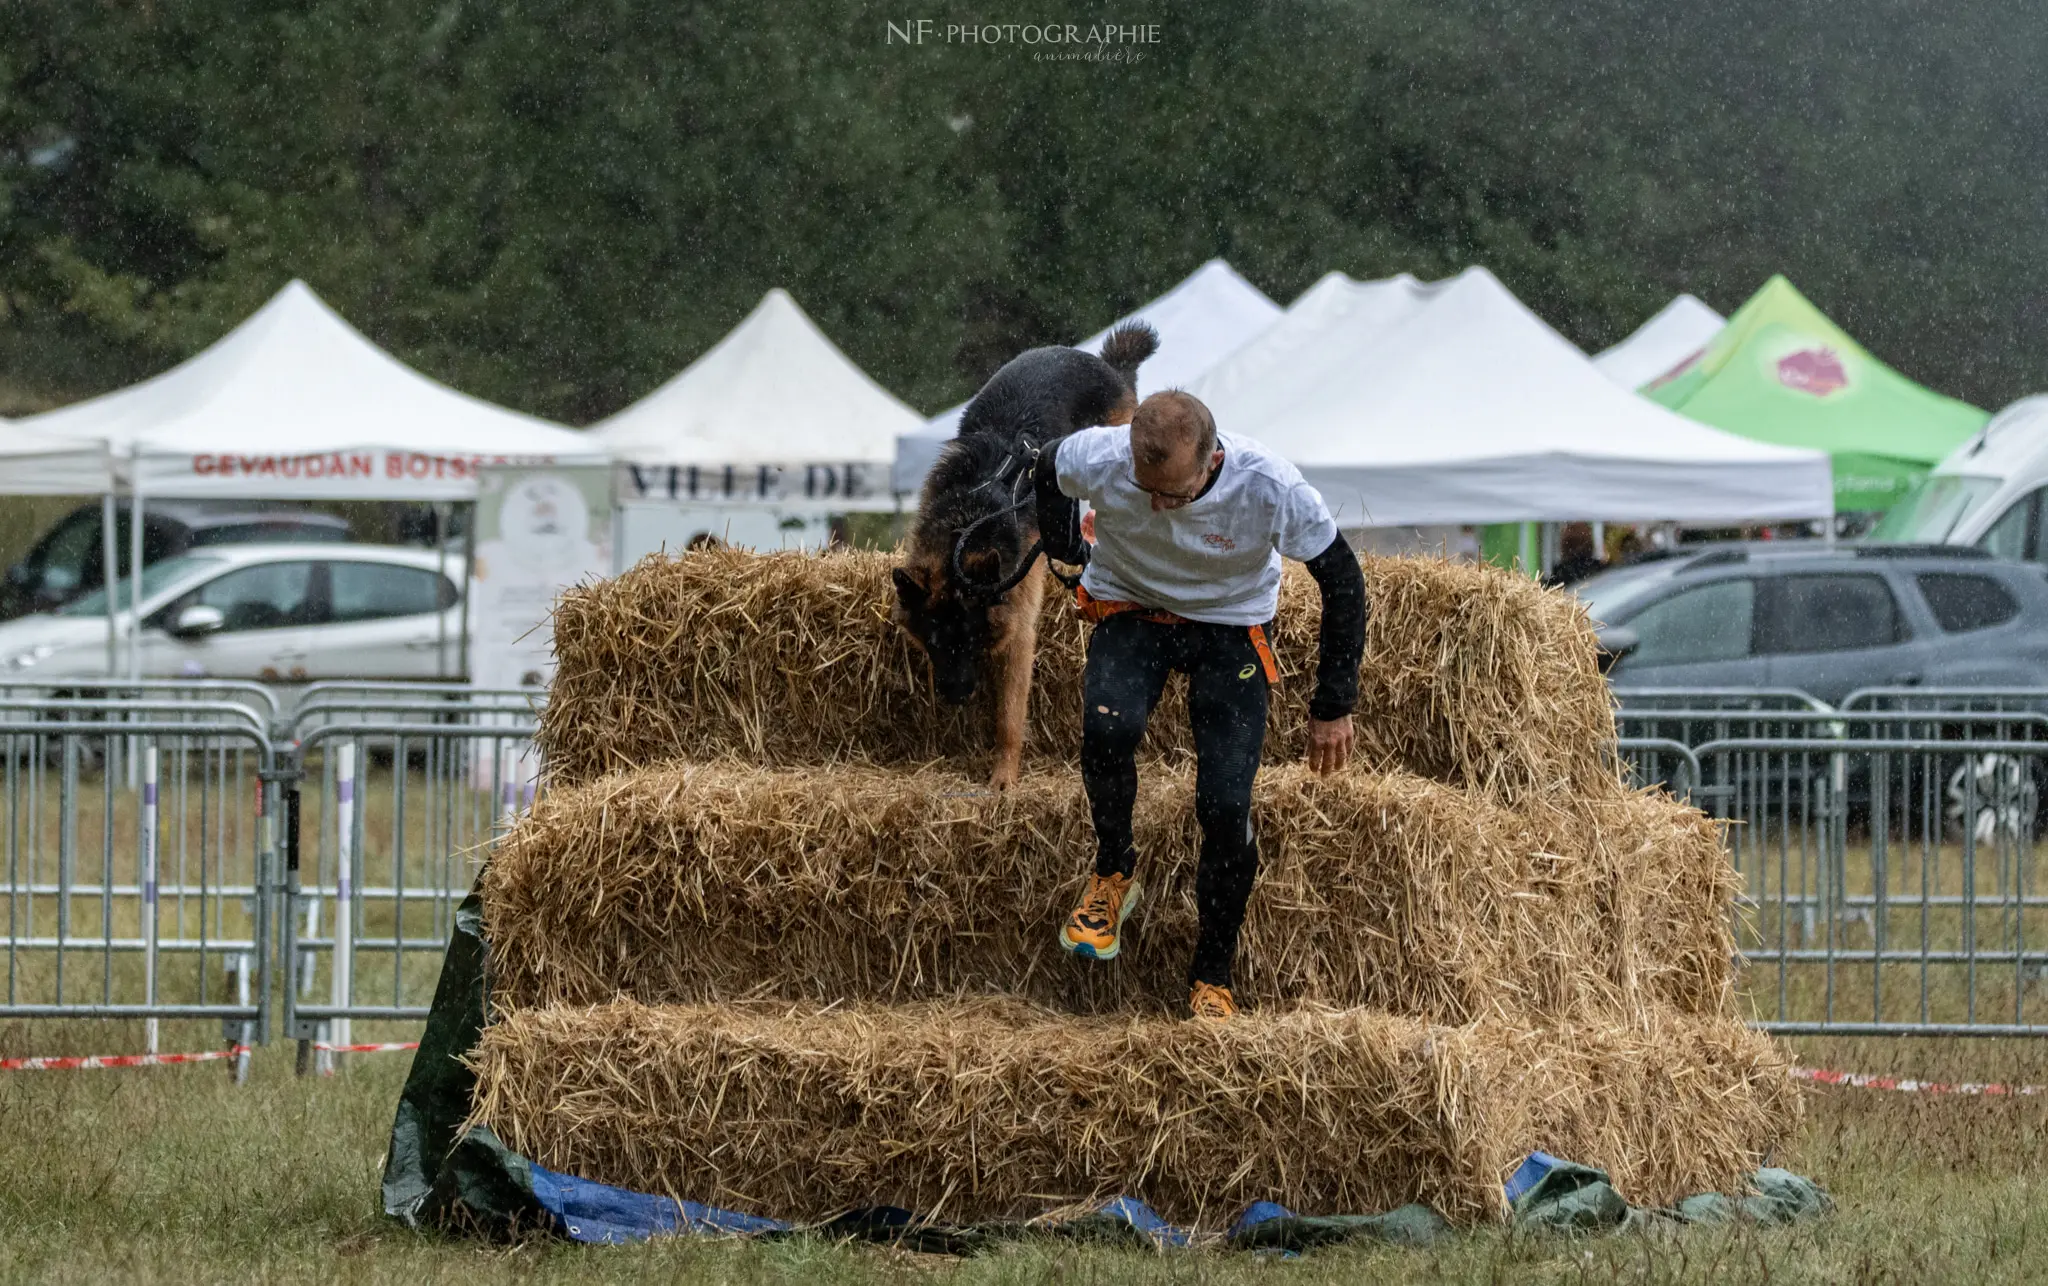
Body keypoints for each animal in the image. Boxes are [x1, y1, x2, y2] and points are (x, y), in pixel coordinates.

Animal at [892, 323, 1163, 782]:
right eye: (935, 640)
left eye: (970, 638)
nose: (956, 696)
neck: (967, 523)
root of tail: (1105, 364)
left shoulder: (1019, 633)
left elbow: (1009, 713)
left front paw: (1003, 777)